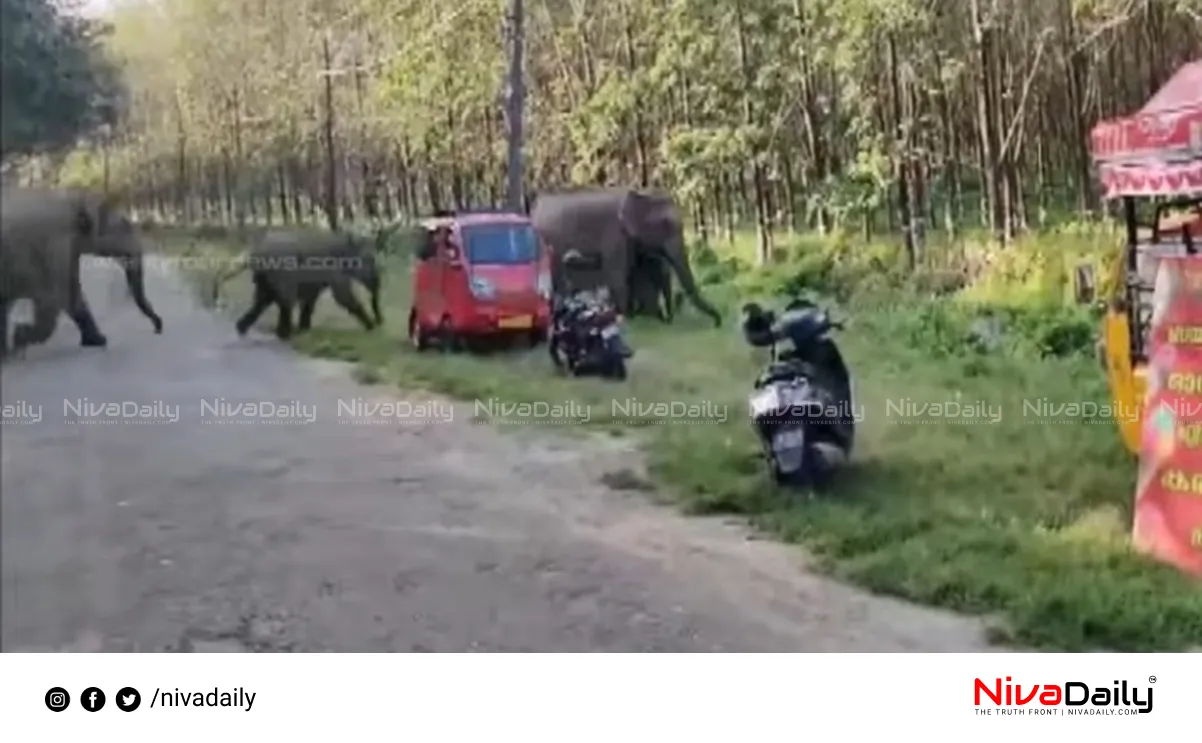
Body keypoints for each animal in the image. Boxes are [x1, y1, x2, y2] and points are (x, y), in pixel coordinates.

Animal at [0, 187, 163, 357]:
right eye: (124, 226)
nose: (157, 329)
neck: (75, 197)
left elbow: (72, 293)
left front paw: (98, 341)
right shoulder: (54, 246)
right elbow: (57, 297)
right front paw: (19, 339)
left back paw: (5, 355)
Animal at [212, 225, 394, 340]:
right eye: (369, 259)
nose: (381, 322)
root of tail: (253, 252)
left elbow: (311, 299)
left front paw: (305, 329)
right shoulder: (333, 270)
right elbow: (343, 297)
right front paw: (371, 328)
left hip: (266, 276)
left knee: (262, 300)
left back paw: (242, 328)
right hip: (281, 271)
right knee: (284, 300)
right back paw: (284, 334)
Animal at [530, 188, 722, 326]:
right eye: (665, 225)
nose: (717, 323)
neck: (642, 195)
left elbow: (636, 274)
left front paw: (639, 315)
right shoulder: (615, 236)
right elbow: (619, 278)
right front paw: (626, 318)